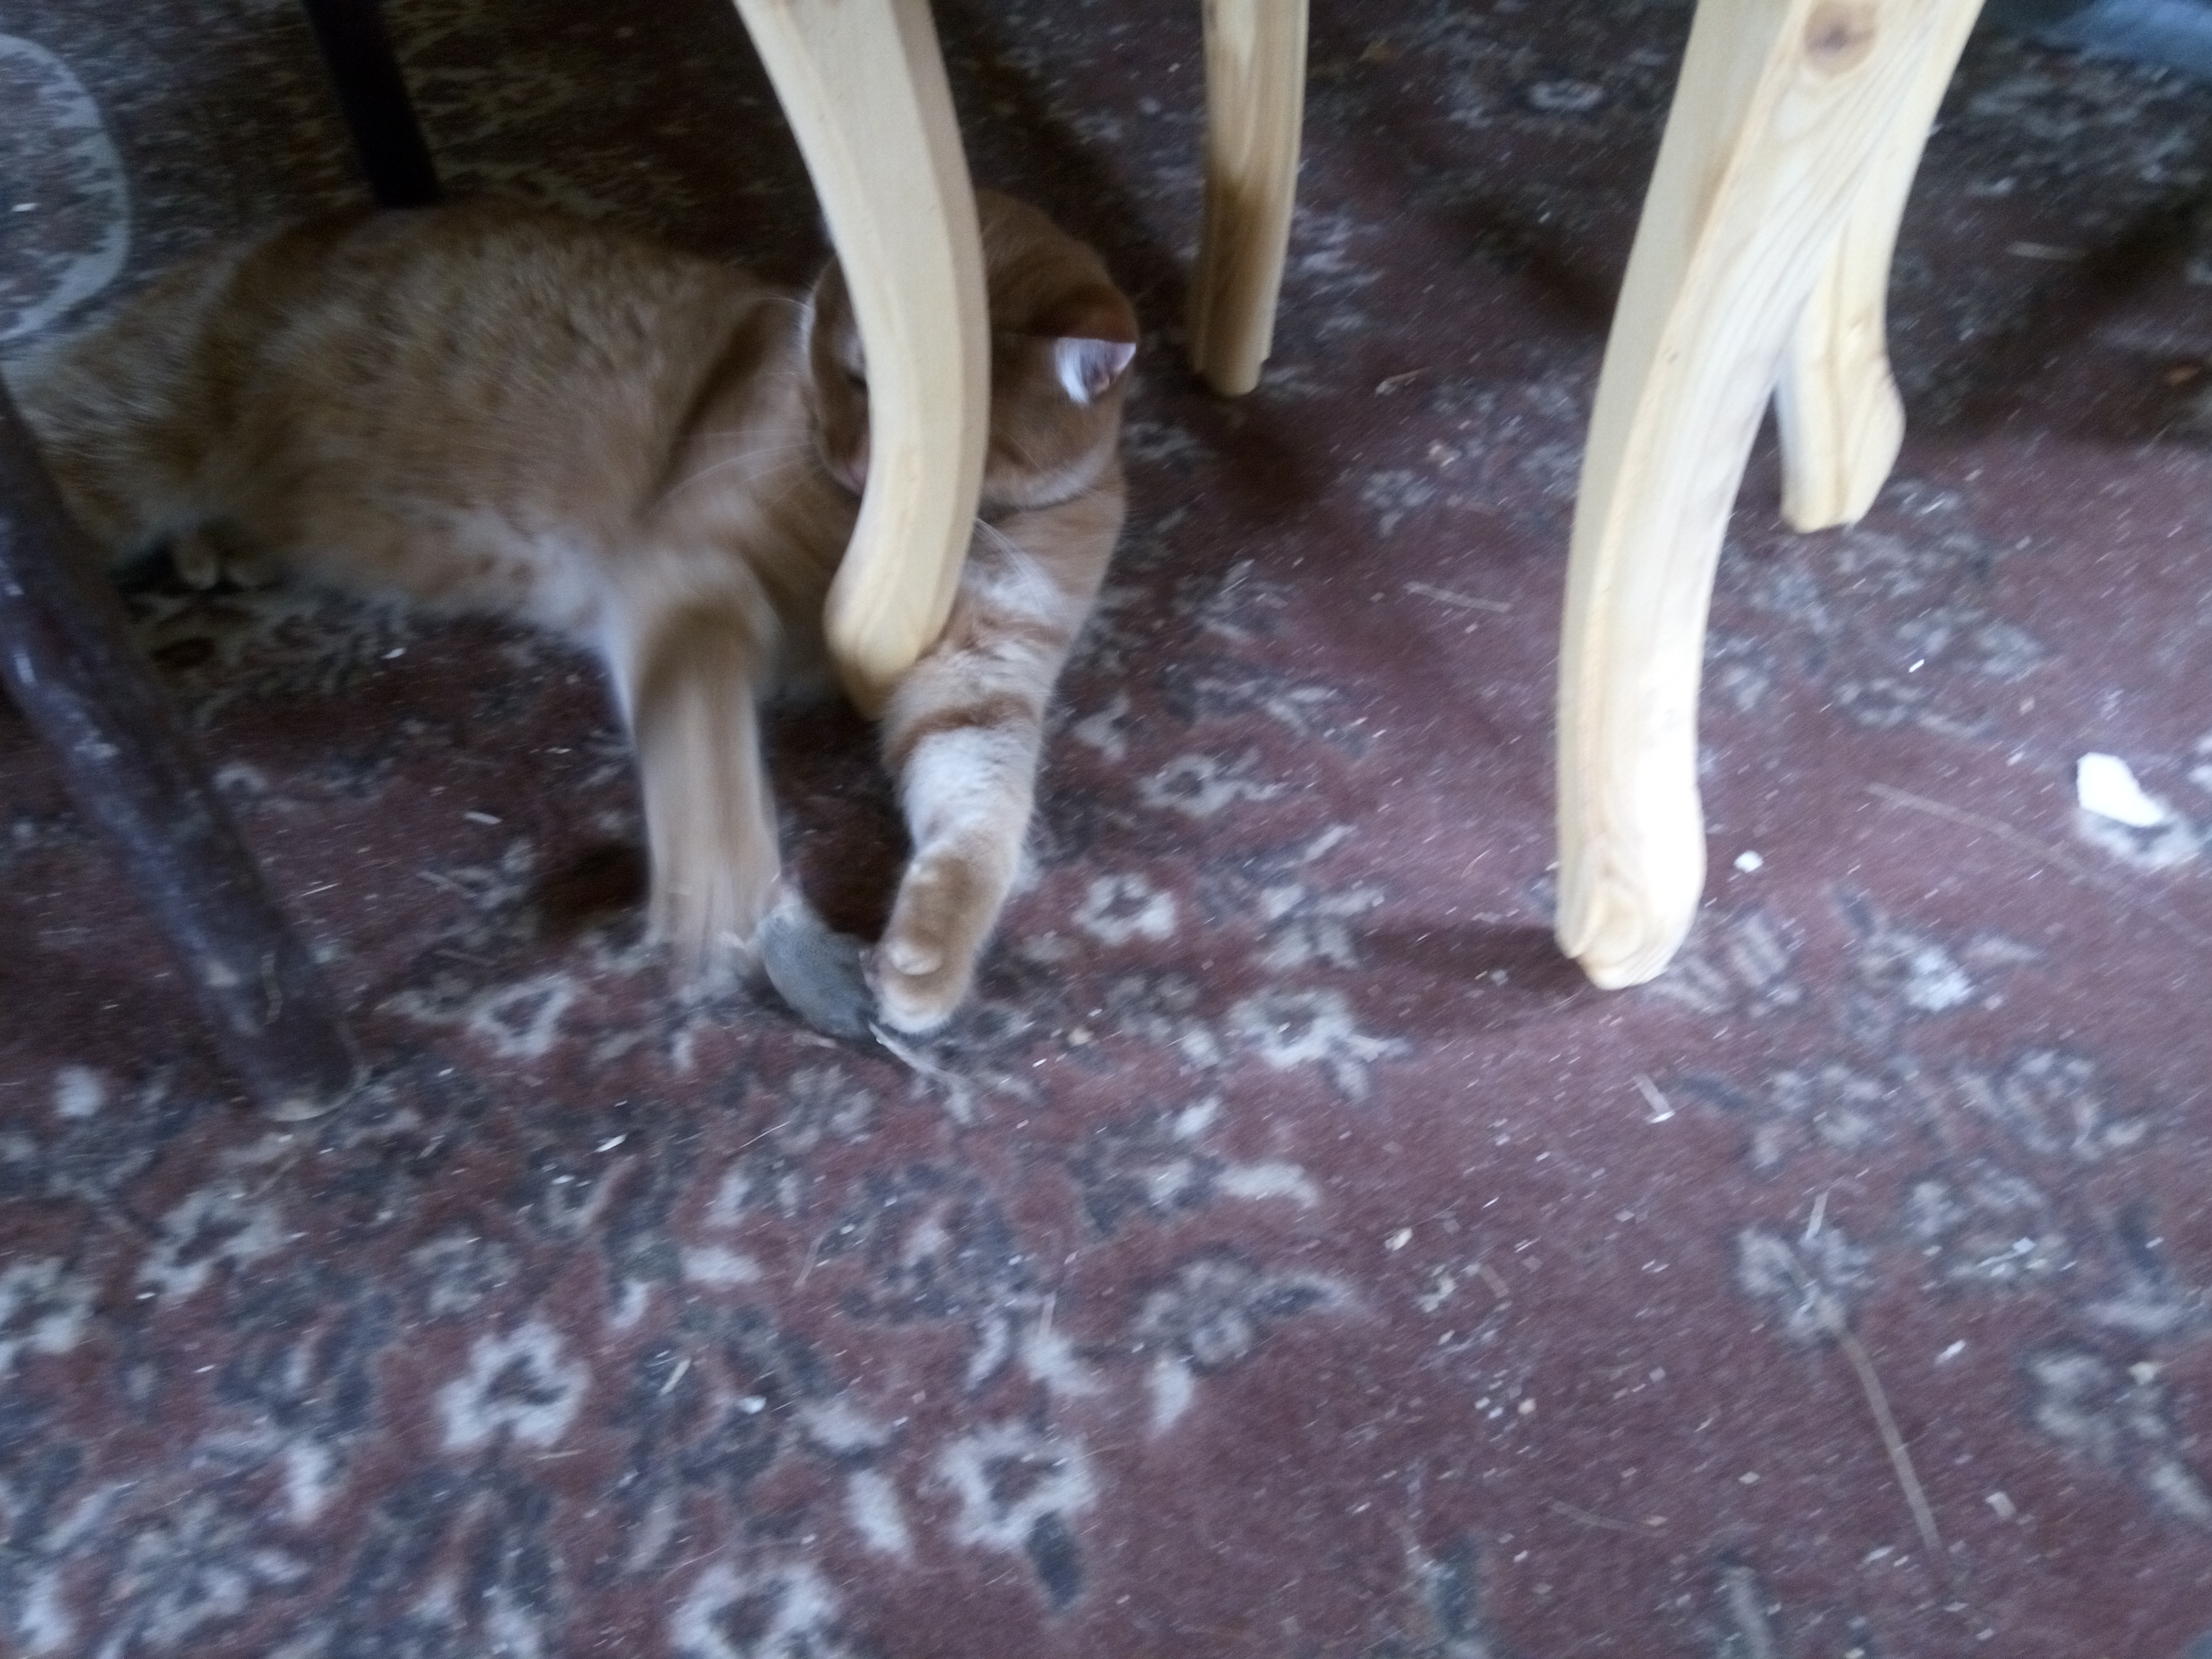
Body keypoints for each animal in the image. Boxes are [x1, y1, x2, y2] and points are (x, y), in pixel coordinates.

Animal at [10, 190, 1138, 1033]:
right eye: (853, 375)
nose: (861, 458)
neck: (966, 531)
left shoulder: (983, 678)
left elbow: (980, 813)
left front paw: (927, 959)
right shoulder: (694, 578)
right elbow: (707, 743)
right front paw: (723, 889)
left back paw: (222, 557)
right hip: (113, 448)